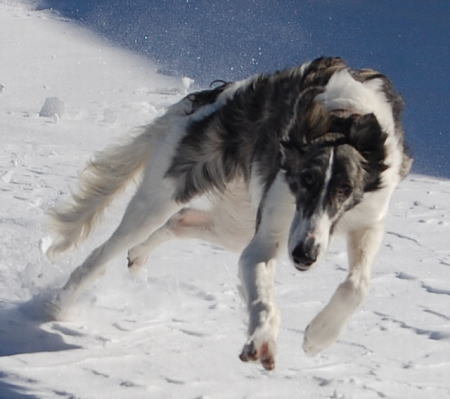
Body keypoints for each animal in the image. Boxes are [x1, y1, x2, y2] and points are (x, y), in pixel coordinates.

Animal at [45, 57, 412, 372]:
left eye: (344, 189)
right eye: (305, 180)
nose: (303, 256)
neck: (343, 118)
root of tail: (215, 97)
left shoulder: (369, 218)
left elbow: (357, 284)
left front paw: (319, 335)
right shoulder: (267, 238)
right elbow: (264, 298)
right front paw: (263, 340)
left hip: (236, 223)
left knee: (180, 220)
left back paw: (138, 256)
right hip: (164, 195)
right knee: (104, 252)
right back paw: (61, 304)